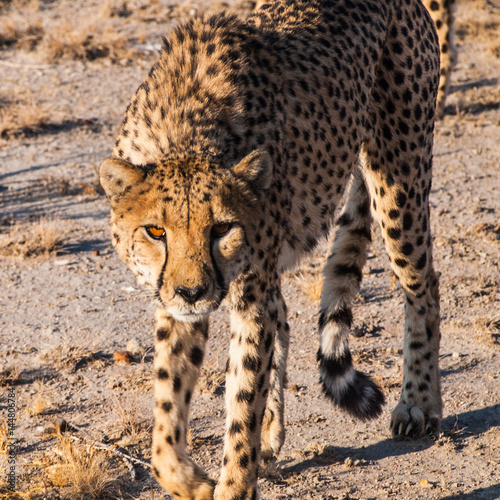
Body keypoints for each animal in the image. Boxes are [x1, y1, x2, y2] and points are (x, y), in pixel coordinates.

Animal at [100, 1, 442, 498]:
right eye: (155, 231)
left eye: (222, 228)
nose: (192, 292)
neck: (188, 132)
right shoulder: (178, 302)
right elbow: (167, 408)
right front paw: (191, 480)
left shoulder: (249, 297)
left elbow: (242, 401)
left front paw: (232, 482)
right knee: (284, 317)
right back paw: (272, 434)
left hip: (398, 178)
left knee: (421, 284)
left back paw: (418, 403)